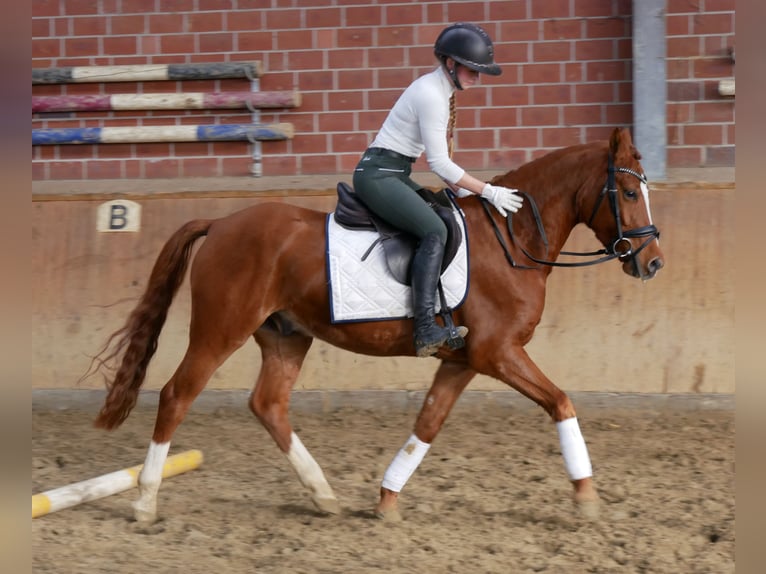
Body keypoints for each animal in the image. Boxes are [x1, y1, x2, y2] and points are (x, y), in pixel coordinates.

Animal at [91, 128, 664, 524]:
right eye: (627, 194)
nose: (653, 262)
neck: (512, 239)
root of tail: (222, 223)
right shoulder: (498, 353)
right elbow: (561, 402)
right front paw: (586, 497)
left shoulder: (464, 361)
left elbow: (427, 425)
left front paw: (386, 500)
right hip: (220, 330)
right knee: (177, 395)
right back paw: (144, 502)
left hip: (286, 335)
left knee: (269, 404)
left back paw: (322, 494)